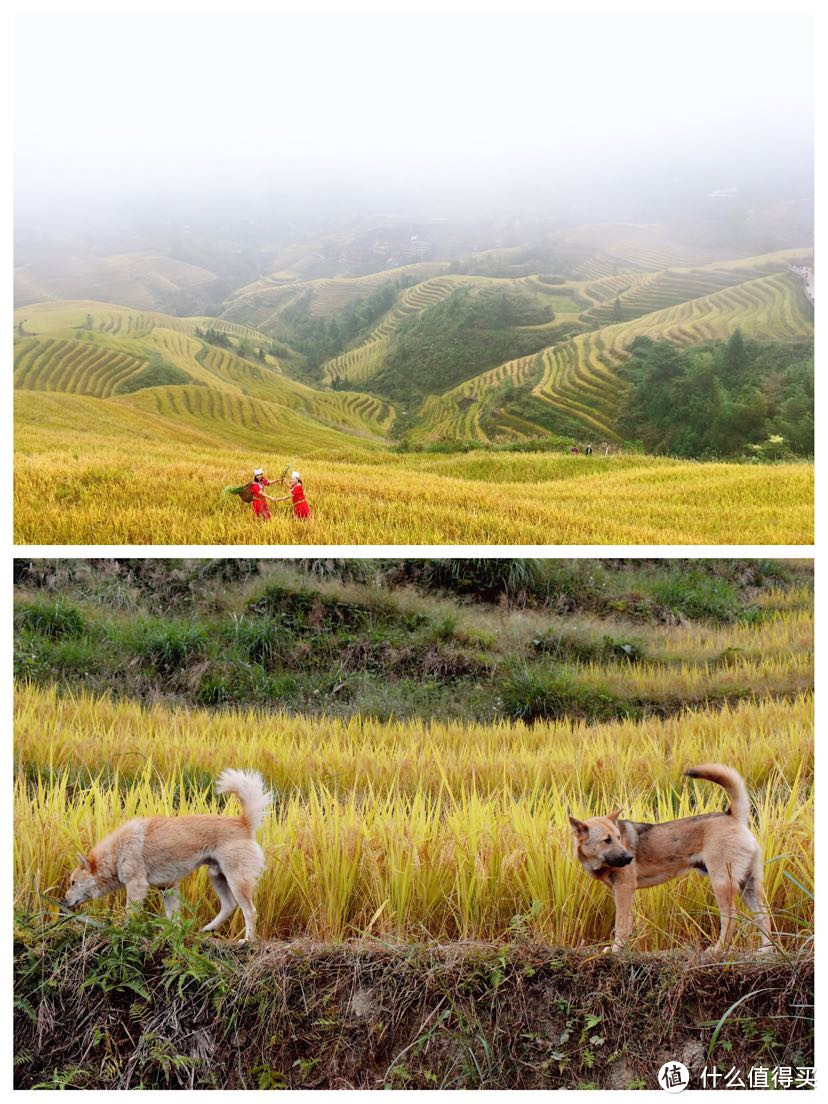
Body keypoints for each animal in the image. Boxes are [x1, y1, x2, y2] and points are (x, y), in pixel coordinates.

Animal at [65, 772, 272, 945]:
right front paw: (174, 936)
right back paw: (208, 929)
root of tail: (243, 823)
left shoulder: (136, 885)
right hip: (217, 876)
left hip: (236, 880)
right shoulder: (168, 887)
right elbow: (173, 918)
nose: (63, 901)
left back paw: (248, 940)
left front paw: (125, 932)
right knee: (229, 906)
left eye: (73, 882)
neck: (117, 852)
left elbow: (130, 913)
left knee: (250, 911)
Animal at [569, 763, 777, 953]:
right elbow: (627, 923)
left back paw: (717, 949)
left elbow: (620, 924)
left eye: (618, 838)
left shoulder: (624, 888)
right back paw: (765, 950)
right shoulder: (622, 891)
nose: (630, 857)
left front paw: (616, 949)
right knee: (764, 915)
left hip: (722, 882)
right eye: (607, 840)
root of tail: (733, 817)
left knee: (731, 917)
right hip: (748, 884)